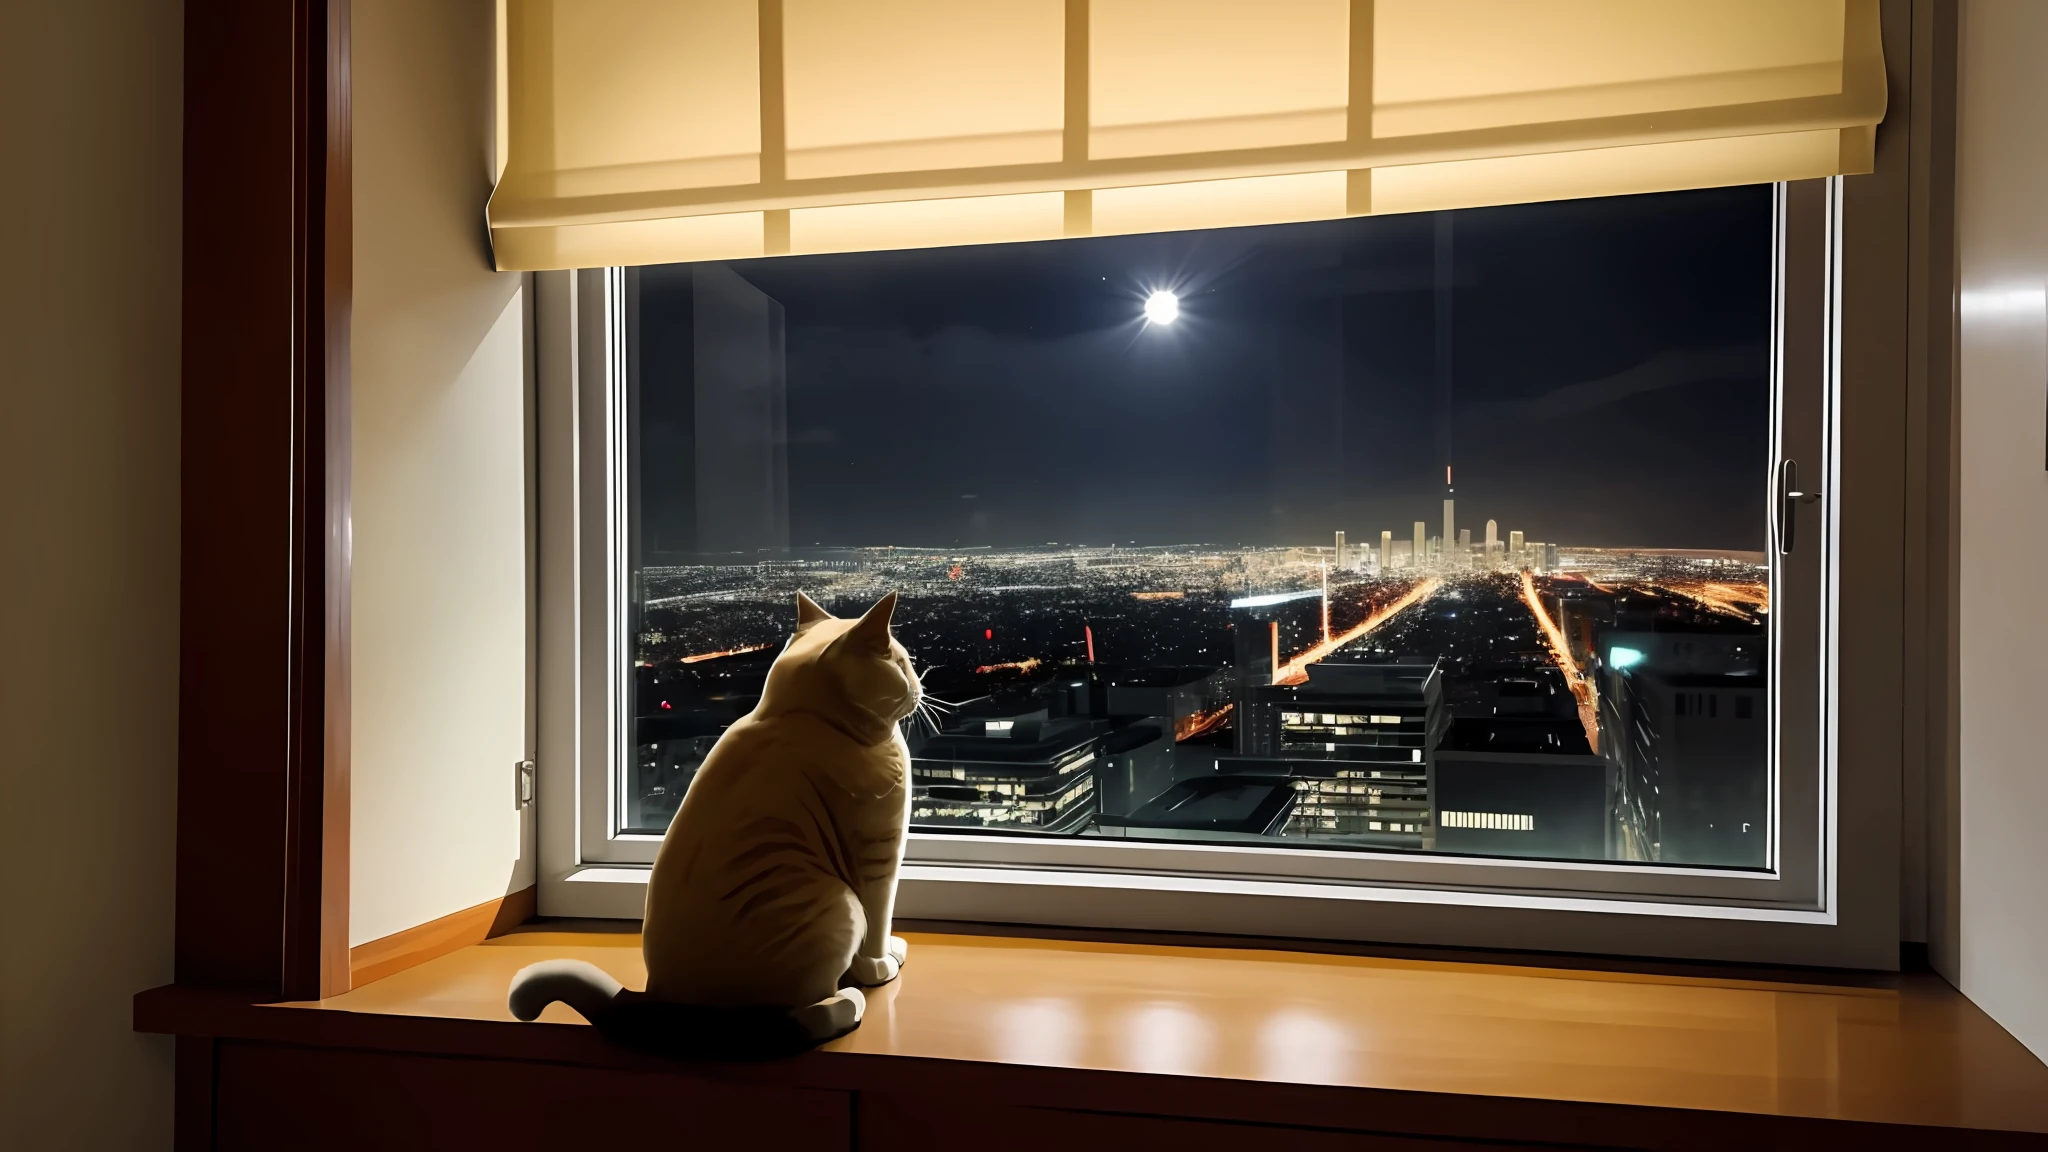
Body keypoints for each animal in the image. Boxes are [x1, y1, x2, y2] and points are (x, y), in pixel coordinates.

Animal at [512, 590, 921, 1049]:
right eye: (903, 663)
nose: (920, 683)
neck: (799, 715)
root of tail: (663, 1004)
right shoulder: (877, 857)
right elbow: (879, 923)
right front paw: (880, 966)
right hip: (837, 903)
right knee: (796, 1016)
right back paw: (848, 1003)